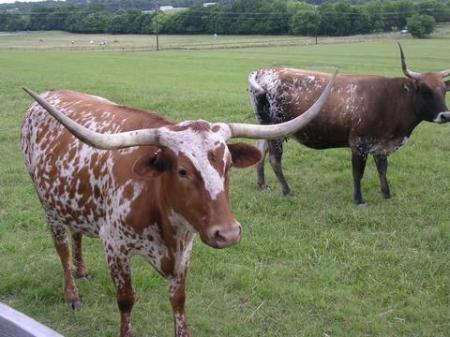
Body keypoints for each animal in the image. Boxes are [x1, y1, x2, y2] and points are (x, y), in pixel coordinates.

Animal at [19, 72, 334, 336]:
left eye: (228, 165)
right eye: (182, 171)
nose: (228, 233)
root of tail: (47, 97)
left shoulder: (186, 249)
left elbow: (179, 301)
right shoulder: (115, 246)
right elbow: (126, 301)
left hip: (72, 202)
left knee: (77, 234)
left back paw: (82, 270)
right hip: (47, 205)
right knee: (61, 249)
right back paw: (72, 294)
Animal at [250, 44, 450, 205]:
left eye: (444, 90)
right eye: (425, 90)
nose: (446, 115)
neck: (390, 100)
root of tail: (262, 71)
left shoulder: (381, 144)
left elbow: (382, 169)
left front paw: (386, 194)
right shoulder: (359, 143)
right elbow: (358, 172)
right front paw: (359, 200)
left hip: (267, 127)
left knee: (260, 149)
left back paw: (262, 185)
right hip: (276, 130)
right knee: (275, 159)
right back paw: (287, 191)